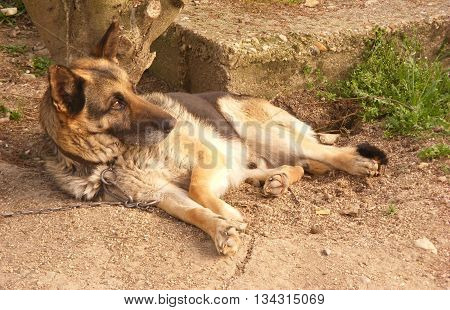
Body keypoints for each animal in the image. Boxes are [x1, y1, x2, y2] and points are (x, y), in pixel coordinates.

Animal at [40, 21, 388, 254]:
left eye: (134, 90)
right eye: (116, 103)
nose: (172, 123)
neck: (114, 159)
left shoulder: (209, 157)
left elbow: (197, 188)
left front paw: (227, 214)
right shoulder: (163, 193)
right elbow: (194, 210)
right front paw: (221, 229)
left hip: (257, 131)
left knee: (321, 153)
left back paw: (356, 163)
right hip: (250, 155)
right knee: (293, 165)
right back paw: (277, 179)